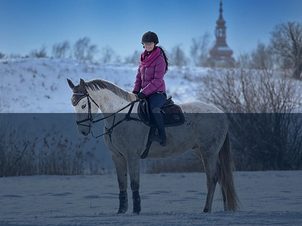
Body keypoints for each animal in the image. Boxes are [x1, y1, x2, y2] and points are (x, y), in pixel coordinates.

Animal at [68, 78, 238, 215]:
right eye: (73, 104)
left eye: (83, 105)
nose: (83, 130)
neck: (121, 117)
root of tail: (220, 113)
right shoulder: (117, 157)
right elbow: (121, 183)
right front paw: (121, 210)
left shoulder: (132, 156)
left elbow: (134, 183)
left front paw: (136, 210)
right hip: (201, 151)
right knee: (221, 177)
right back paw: (224, 209)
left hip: (209, 152)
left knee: (212, 178)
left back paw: (206, 209)